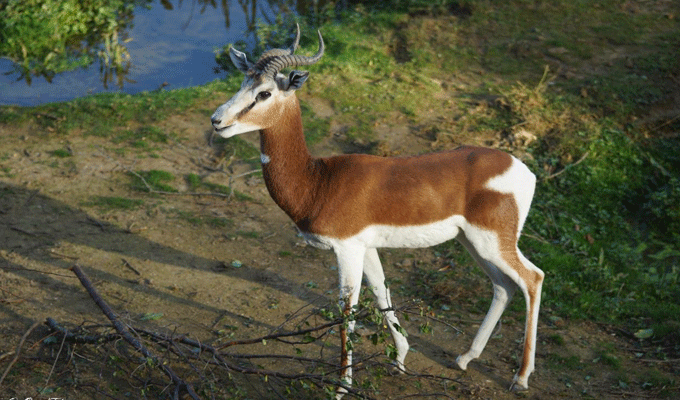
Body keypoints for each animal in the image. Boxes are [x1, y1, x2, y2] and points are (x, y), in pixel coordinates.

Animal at [210, 26, 544, 395]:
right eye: (243, 83)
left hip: (493, 242)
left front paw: (342, 385)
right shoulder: (366, 248)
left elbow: (348, 313)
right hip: (473, 243)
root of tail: (523, 170)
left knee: (533, 278)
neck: (318, 181)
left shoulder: (346, 249)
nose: (217, 120)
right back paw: (465, 359)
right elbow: (382, 292)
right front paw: (400, 357)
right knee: (503, 287)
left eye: (265, 92)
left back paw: (521, 377)